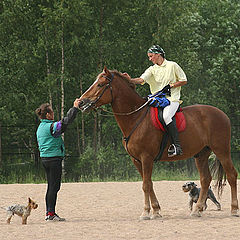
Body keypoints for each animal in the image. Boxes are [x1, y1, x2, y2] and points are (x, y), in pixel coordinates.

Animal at [79, 66, 238, 218]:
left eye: (100, 84)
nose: (81, 102)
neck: (136, 118)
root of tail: (223, 114)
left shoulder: (146, 158)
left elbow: (145, 185)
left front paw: (146, 212)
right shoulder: (137, 160)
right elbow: (148, 184)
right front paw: (155, 210)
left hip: (222, 150)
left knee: (231, 175)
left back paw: (234, 209)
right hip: (201, 154)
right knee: (205, 179)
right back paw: (197, 210)